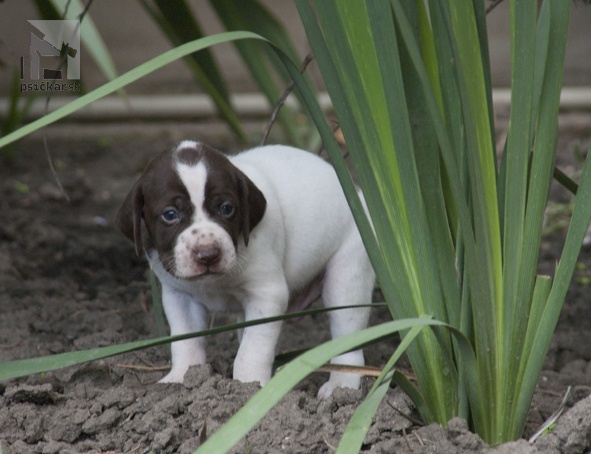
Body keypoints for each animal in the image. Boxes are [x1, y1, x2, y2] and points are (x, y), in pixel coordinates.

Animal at [115, 141, 374, 398]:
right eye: (170, 215)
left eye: (227, 208)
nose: (208, 254)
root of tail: (360, 195)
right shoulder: (179, 296)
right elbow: (185, 342)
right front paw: (181, 378)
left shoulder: (267, 296)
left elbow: (252, 351)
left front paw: (248, 388)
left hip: (347, 278)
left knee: (347, 335)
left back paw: (341, 384)